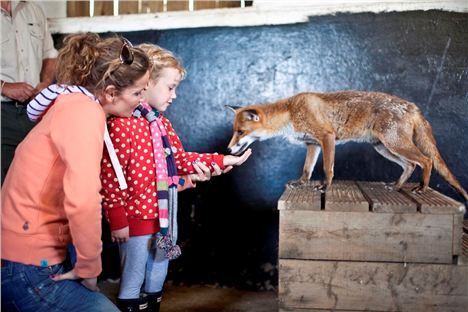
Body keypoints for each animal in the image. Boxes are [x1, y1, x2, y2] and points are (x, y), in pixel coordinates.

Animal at [227, 91, 468, 201]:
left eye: (240, 132)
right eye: (234, 131)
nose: (229, 150)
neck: (290, 113)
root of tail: (412, 106)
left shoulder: (327, 137)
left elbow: (327, 168)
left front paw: (325, 186)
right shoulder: (312, 144)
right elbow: (307, 169)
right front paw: (301, 183)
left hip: (395, 144)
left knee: (426, 161)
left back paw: (422, 187)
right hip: (384, 148)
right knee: (410, 165)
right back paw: (397, 186)